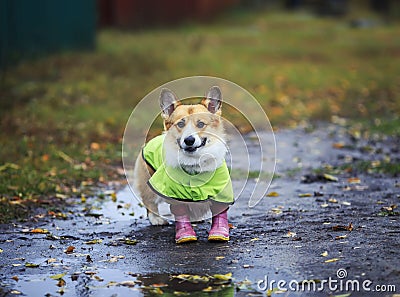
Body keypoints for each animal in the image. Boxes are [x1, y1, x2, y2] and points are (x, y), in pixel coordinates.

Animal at [134, 85, 234, 243]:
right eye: (180, 124)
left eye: (200, 124)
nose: (189, 140)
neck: (195, 162)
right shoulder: (175, 194)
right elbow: (180, 212)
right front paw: (185, 234)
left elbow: (219, 212)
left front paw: (219, 232)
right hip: (149, 182)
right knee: (149, 202)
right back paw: (156, 219)